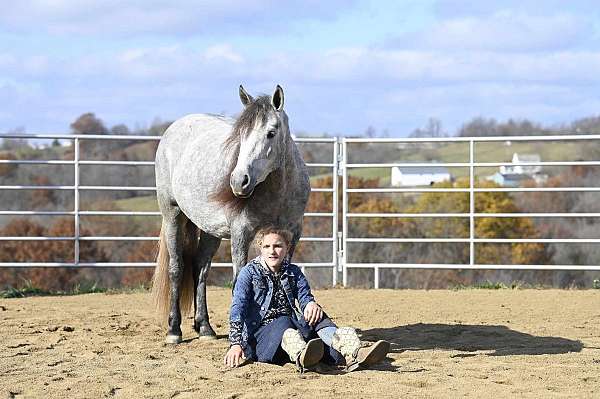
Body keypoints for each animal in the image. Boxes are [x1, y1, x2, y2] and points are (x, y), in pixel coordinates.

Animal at [151, 85, 310, 344]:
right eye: (241, 135)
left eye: (271, 133)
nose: (238, 181)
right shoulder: (241, 234)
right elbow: (238, 284)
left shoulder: (292, 234)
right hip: (173, 215)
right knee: (176, 268)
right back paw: (174, 331)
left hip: (210, 230)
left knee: (200, 268)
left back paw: (205, 328)